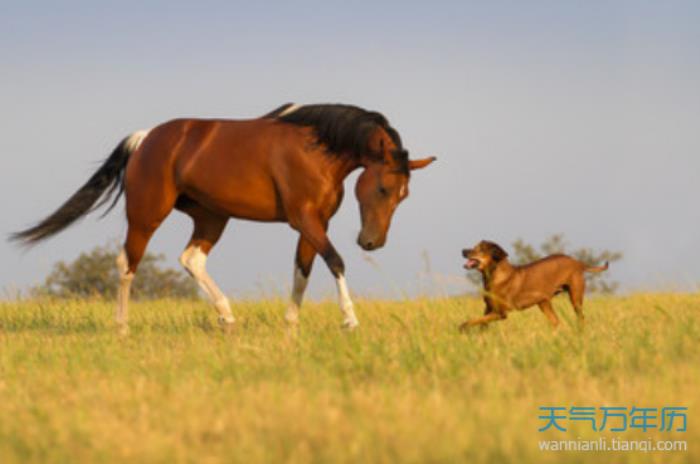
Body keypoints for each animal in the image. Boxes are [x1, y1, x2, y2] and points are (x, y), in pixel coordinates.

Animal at [10, 103, 434, 332]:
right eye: (383, 189)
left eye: (404, 195)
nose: (372, 242)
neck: (316, 149)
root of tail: (146, 139)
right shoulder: (305, 220)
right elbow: (336, 262)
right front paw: (350, 321)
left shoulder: (315, 224)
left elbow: (303, 271)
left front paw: (290, 327)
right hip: (146, 216)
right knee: (126, 263)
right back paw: (122, 327)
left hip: (212, 217)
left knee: (191, 260)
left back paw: (227, 317)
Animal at [460, 239, 608, 330]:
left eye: (479, 249)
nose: (463, 250)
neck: (494, 275)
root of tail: (578, 262)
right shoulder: (489, 309)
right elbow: (481, 322)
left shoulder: (501, 313)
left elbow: (471, 321)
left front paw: (462, 327)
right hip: (543, 302)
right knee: (557, 322)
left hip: (575, 298)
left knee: (581, 318)